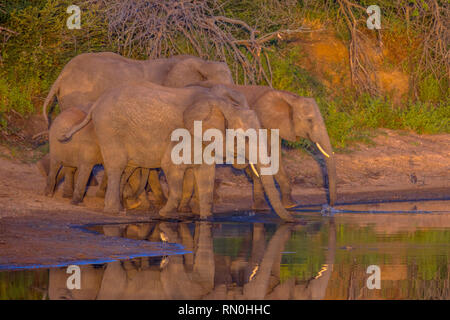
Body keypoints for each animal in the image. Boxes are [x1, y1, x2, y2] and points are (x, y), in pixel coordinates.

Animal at [60, 81, 296, 221]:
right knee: (117, 165)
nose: (295, 220)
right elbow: (171, 167)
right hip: (109, 128)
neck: (222, 105)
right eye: (245, 138)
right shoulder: (185, 134)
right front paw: (164, 214)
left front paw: (205, 218)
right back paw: (114, 211)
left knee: (126, 168)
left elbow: (206, 174)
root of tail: (96, 102)